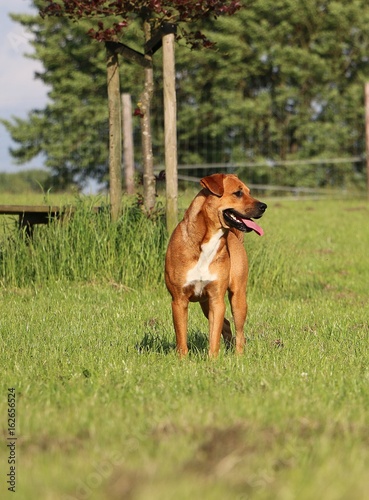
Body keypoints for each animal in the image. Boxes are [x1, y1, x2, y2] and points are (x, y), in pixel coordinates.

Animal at [165, 174, 266, 358]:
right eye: (238, 193)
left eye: (249, 192)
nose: (264, 206)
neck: (206, 241)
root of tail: (234, 236)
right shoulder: (179, 300)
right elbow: (181, 336)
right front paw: (182, 359)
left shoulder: (217, 300)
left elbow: (214, 337)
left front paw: (212, 360)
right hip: (205, 303)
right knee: (226, 325)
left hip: (237, 299)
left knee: (239, 332)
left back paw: (238, 356)